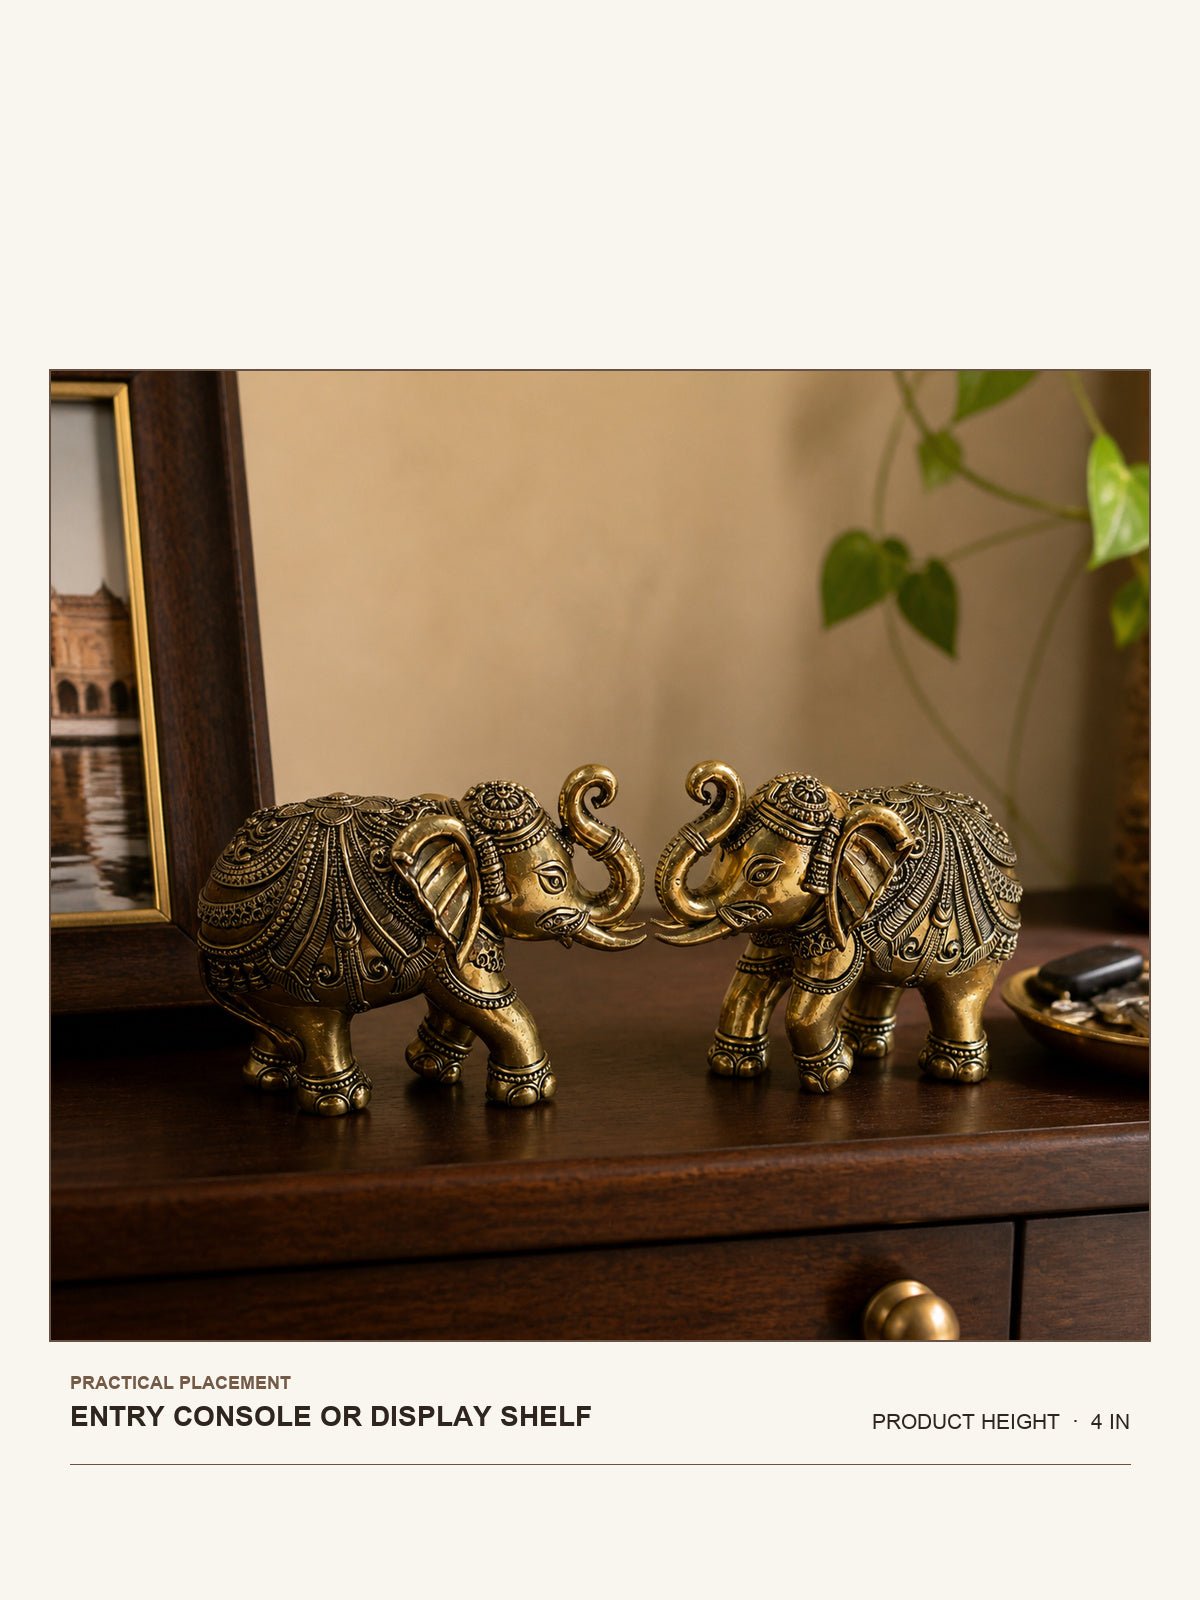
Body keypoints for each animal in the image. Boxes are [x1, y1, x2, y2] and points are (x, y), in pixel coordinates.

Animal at [197, 765, 644, 1114]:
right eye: (554, 880)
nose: (603, 787)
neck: (454, 818)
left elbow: (460, 1002)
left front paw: (430, 1067)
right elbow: (489, 1002)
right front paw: (528, 1096)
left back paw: (269, 1077)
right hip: (298, 989)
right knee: (318, 1026)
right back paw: (341, 1101)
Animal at [655, 763, 1021, 1092]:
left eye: (760, 874)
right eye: (721, 858)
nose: (701, 786)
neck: (845, 813)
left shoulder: (841, 931)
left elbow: (812, 1000)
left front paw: (833, 1075)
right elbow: (750, 980)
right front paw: (733, 1066)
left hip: (982, 955)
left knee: (961, 996)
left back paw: (954, 1070)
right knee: (885, 981)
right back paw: (866, 1045)